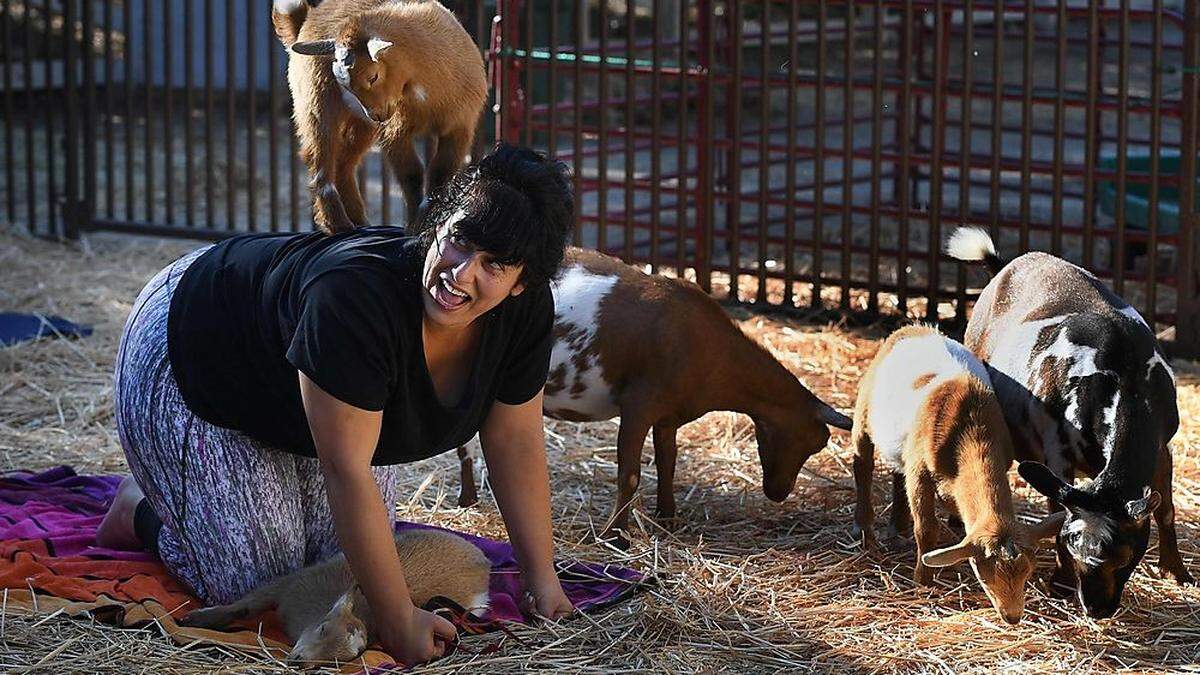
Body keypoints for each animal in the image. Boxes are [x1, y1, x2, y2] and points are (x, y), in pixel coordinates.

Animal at [183, 528, 492, 662]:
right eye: (322, 628)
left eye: (347, 657)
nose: (299, 660)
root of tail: (484, 561)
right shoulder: (291, 583)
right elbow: (247, 605)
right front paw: (196, 619)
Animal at [272, 0, 487, 233]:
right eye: (345, 84)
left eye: (373, 76)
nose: (375, 115)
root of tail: (305, 21)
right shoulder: (396, 129)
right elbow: (411, 173)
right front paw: (415, 225)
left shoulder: (460, 125)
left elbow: (441, 173)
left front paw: (427, 220)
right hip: (316, 101)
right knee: (320, 159)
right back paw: (338, 224)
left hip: (361, 125)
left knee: (343, 163)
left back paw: (360, 222)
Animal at [453, 247, 849, 540]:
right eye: (812, 442)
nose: (778, 492)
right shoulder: (639, 405)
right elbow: (629, 473)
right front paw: (615, 535)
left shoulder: (668, 415)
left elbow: (667, 463)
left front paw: (668, 517)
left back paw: (470, 499)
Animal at [849, 324, 1065, 624]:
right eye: (984, 578)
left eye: (1028, 572)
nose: (1012, 617)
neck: (970, 430)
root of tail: (912, 328)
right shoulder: (920, 471)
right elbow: (926, 529)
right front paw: (923, 581)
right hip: (864, 409)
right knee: (863, 464)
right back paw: (864, 527)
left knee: (896, 471)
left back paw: (897, 527)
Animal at [945, 224, 1190, 614]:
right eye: (1072, 547)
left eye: (1125, 557)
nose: (1095, 609)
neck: (1126, 378)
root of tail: (1003, 265)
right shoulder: (1056, 450)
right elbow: (1055, 508)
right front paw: (1059, 582)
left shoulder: (1162, 445)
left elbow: (1165, 509)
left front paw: (1178, 573)